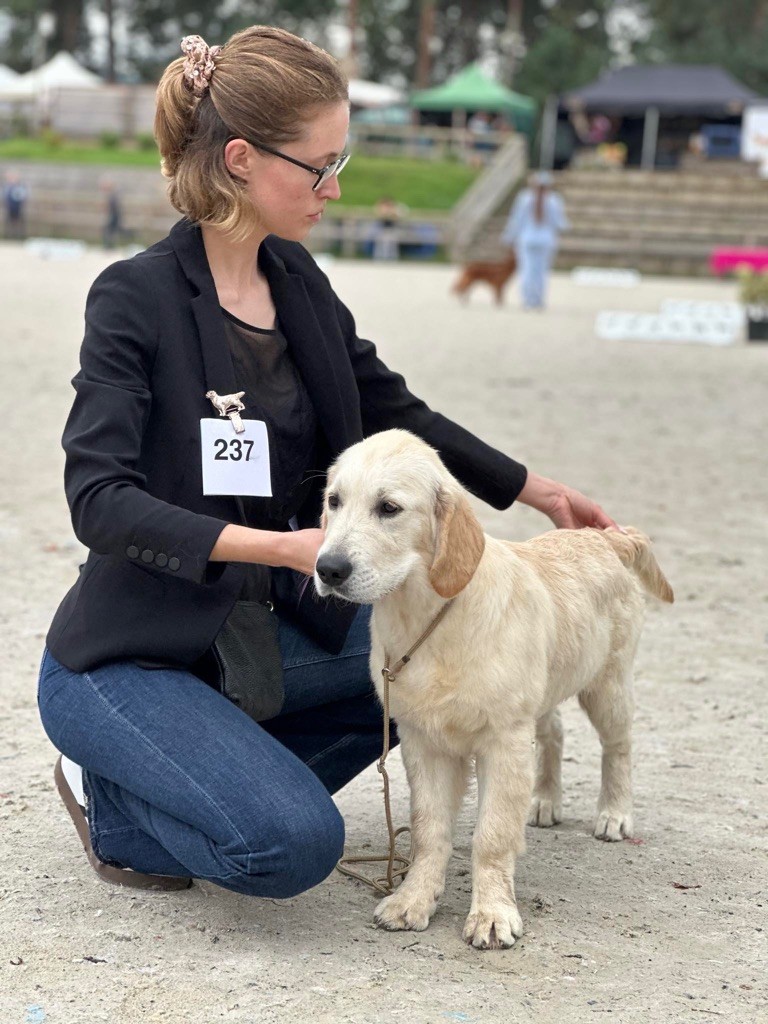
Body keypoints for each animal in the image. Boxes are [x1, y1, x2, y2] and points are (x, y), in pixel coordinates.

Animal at [313, 430, 671, 950]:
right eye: (334, 501)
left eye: (389, 508)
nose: (328, 569)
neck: (429, 621)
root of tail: (603, 535)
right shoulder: (423, 740)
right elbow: (429, 829)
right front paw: (413, 900)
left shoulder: (502, 740)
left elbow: (493, 834)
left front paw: (493, 914)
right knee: (554, 733)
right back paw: (545, 800)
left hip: (606, 685)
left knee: (618, 746)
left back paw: (614, 813)